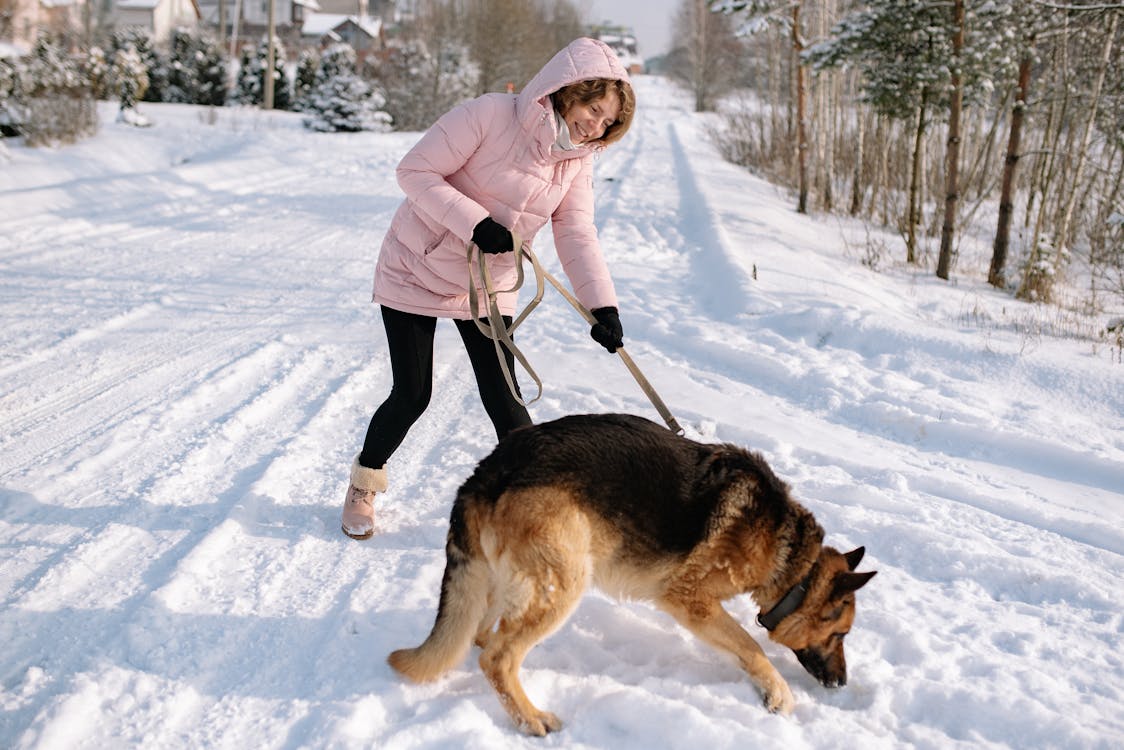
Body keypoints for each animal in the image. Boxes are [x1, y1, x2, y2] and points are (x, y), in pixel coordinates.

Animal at [388, 413, 876, 737]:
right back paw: (532, 718)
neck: (793, 558)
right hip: (564, 582)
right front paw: (777, 694)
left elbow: (744, 648)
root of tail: (486, 472)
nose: (841, 683)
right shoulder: (690, 601)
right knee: (498, 658)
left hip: (503, 582)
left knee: (482, 636)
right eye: (840, 635)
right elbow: (750, 646)